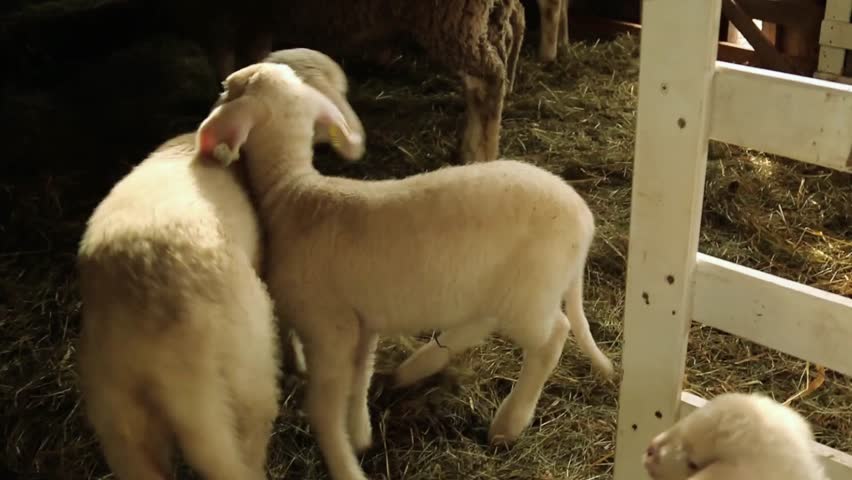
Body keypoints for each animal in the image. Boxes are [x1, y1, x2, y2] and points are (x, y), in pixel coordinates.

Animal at [195, 61, 615, 480]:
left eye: (228, 89)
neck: (291, 191)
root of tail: (583, 216)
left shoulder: (327, 325)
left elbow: (324, 408)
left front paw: (344, 464)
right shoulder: (362, 324)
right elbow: (360, 377)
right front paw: (360, 435)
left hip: (531, 293)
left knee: (552, 337)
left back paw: (509, 423)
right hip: (495, 288)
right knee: (478, 325)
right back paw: (413, 370)